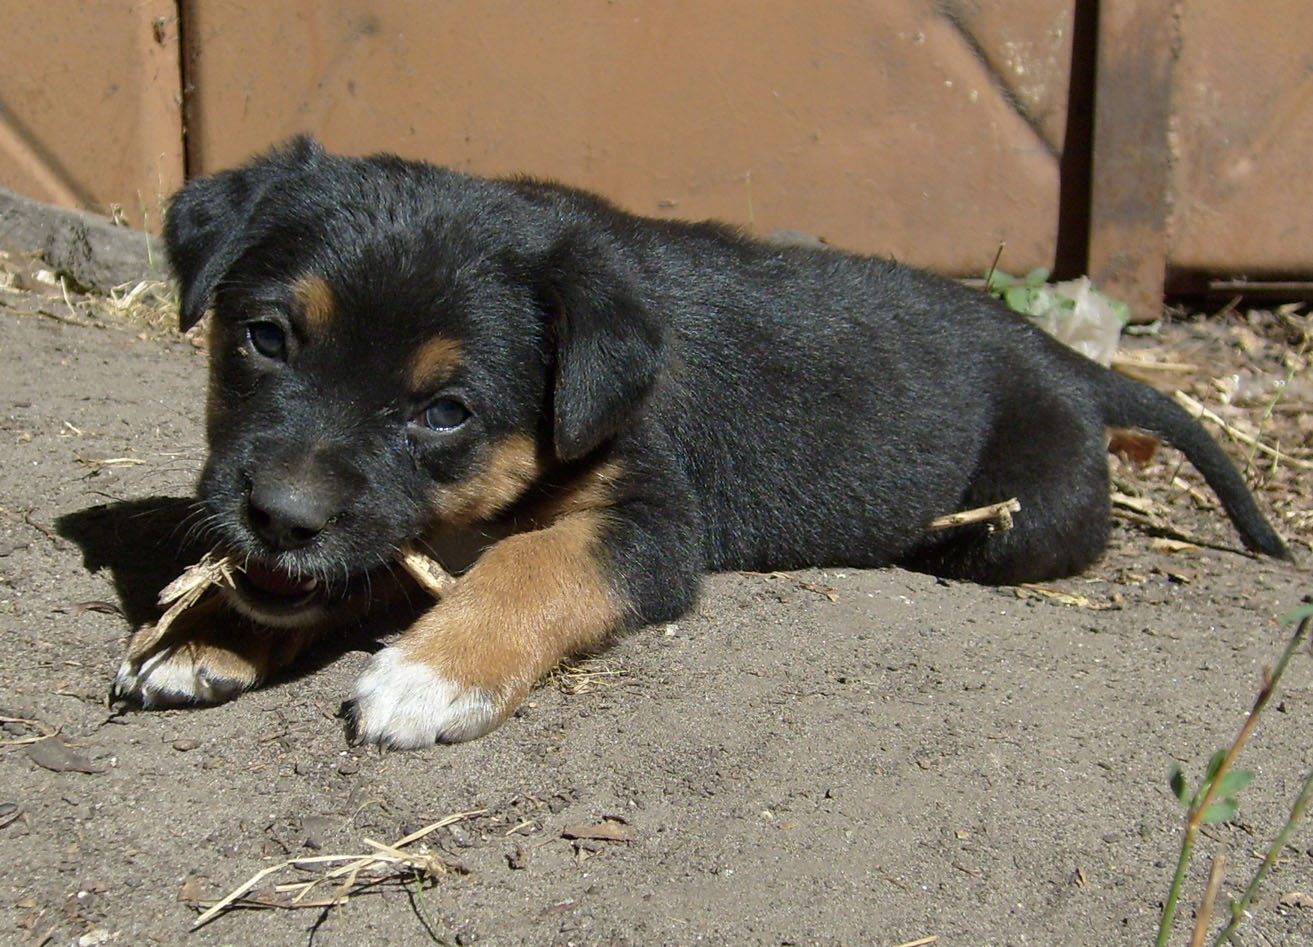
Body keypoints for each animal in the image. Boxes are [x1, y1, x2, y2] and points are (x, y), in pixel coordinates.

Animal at [110, 138, 1281, 746]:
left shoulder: (647, 519)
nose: (279, 517)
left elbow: (528, 563)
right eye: (265, 337)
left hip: (1011, 522)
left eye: (445, 411)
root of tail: (1060, 357)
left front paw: (433, 673)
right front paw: (206, 629)